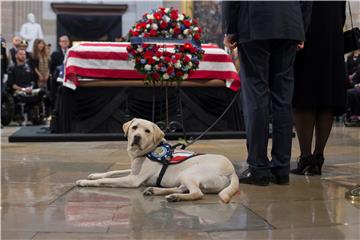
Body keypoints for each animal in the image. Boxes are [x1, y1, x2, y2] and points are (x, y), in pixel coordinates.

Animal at [76, 118, 239, 202]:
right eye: (134, 127)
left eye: (147, 131)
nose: (137, 137)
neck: (146, 152)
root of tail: (232, 171)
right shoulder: (133, 170)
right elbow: (113, 172)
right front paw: (94, 175)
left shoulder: (133, 179)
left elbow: (106, 181)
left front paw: (84, 182)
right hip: (184, 177)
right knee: (182, 188)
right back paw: (157, 191)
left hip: (190, 173)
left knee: (197, 193)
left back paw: (175, 197)